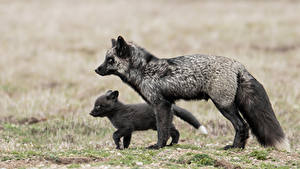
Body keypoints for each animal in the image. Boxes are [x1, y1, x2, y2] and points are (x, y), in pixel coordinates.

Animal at [95, 35, 290, 151]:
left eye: (110, 60)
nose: (96, 69)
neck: (146, 70)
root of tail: (237, 64)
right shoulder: (168, 104)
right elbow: (168, 129)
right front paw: (168, 145)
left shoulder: (160, 104)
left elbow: (162, 130)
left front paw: (158, 146)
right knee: (245, 126)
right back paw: (239, 147)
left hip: (223, 106)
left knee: (242, 125)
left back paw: (234, 147)